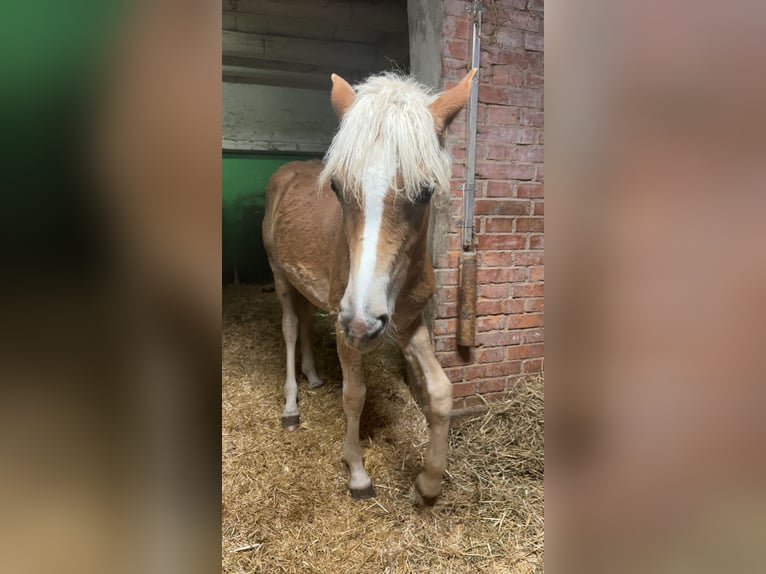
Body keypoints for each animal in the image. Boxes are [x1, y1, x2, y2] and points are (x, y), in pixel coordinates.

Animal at [266, 70, 480, 506]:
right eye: (336, 187)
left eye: (425, 191)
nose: (363, 322)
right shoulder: (345, 324)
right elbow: (355, 394)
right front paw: (358, 474)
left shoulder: (410, 323)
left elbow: (441, 391)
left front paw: (427, 485)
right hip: (281, 277)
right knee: (291, 329)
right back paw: (291, 407)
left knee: (307, 323)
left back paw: (313, 376)